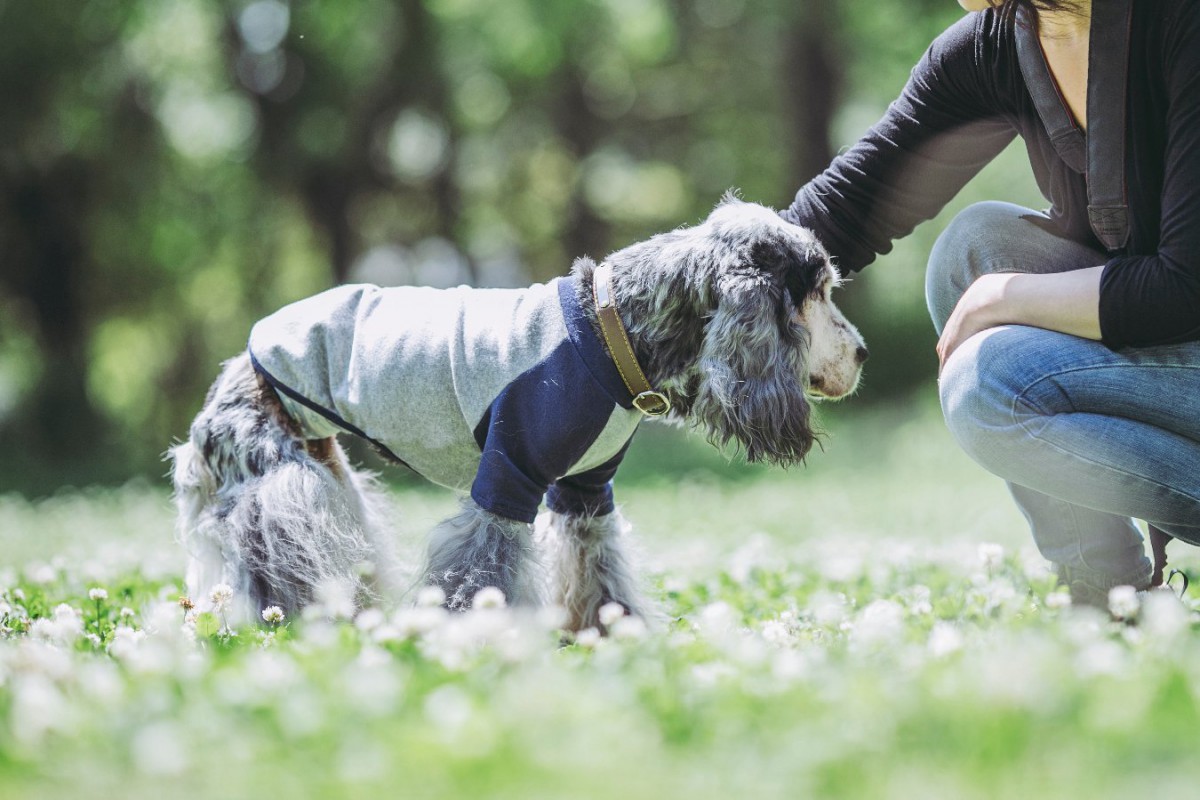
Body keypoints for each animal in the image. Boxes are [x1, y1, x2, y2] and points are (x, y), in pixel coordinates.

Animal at [171, 195, 864, 633]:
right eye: (818, 291)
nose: (862, 352)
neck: (614, 332)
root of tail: (235, 371)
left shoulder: (585, 491)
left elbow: (600, 574)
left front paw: (614, 639)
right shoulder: (506, 480)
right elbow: (481, 577)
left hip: (331, 482)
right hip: (281, 490)